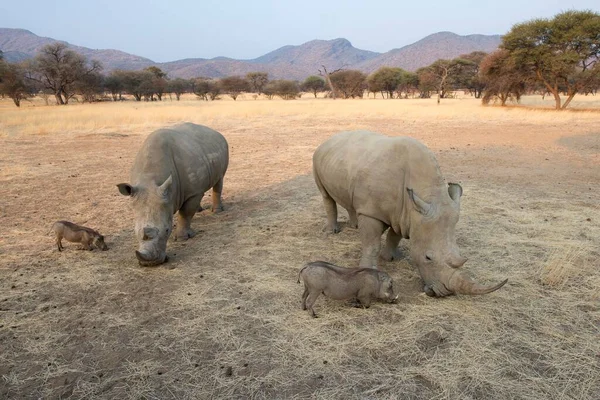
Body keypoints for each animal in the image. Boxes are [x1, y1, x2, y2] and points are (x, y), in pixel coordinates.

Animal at [118, 122, 229, 266]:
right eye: (134, 231)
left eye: (167, 230)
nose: (150, 263)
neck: (151, 177)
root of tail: (215, 132)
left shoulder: (192, 193)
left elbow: (185, 213)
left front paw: (183, 238)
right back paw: (199, 210)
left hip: (221, 148)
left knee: (219, 180)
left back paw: (216, 211)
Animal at [314, 131, 506, 296]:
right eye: (428, 257)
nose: (445, 292)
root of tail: (331, 138)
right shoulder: (372, 212)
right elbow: (372, 244)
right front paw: (370, 270)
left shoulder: (405, 214)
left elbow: (394, 236)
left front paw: (391, 258)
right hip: (317, 157)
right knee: (325, 195)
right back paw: (331, 231)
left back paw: (354, 226)